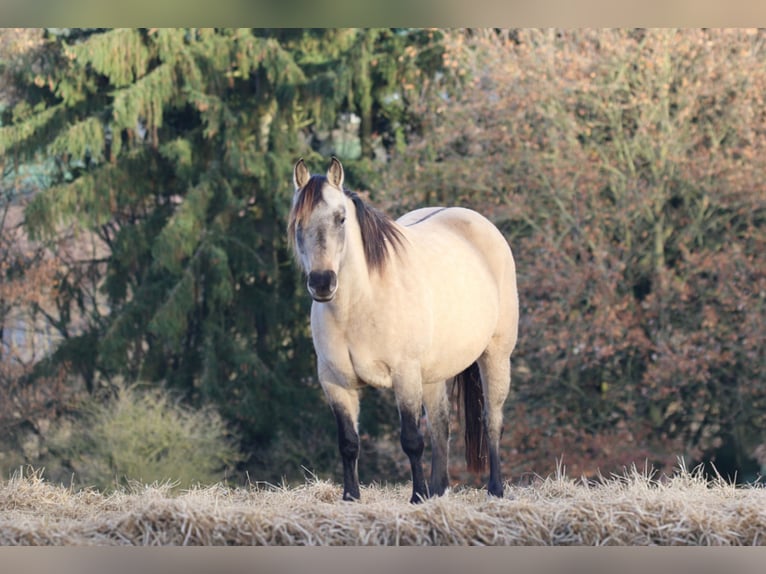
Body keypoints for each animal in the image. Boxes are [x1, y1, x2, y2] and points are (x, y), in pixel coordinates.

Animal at [288, 156, 519, 503]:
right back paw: (439, 490)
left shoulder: (405, 374)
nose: (322, 282)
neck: (359, 305)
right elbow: (348, 442)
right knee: (440, 425)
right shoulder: (334, 382)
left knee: (492, 419)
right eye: (297, 223)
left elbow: (411, 439)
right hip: (434, 374)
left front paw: (417, 496)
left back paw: (495, 489)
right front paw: (351, 497)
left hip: (495, 356)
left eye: (341, 219)